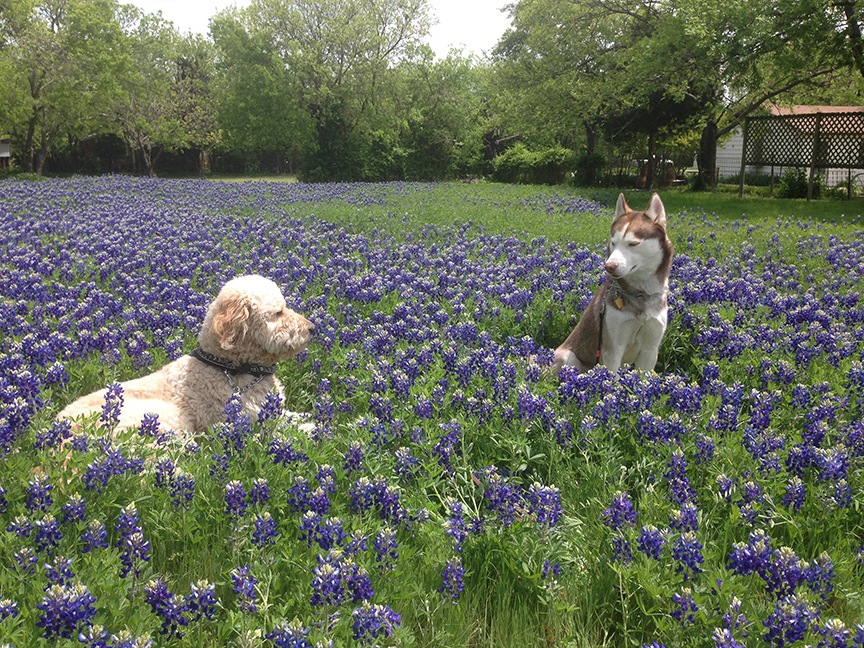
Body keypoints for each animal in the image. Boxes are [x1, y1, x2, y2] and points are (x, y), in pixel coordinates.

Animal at [57, 274, 314, 436]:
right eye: (279, 312)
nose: (312, 328)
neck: (230, 367)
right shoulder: (252, 420)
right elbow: (292, 430)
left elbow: (298, 416)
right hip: (162, 415)